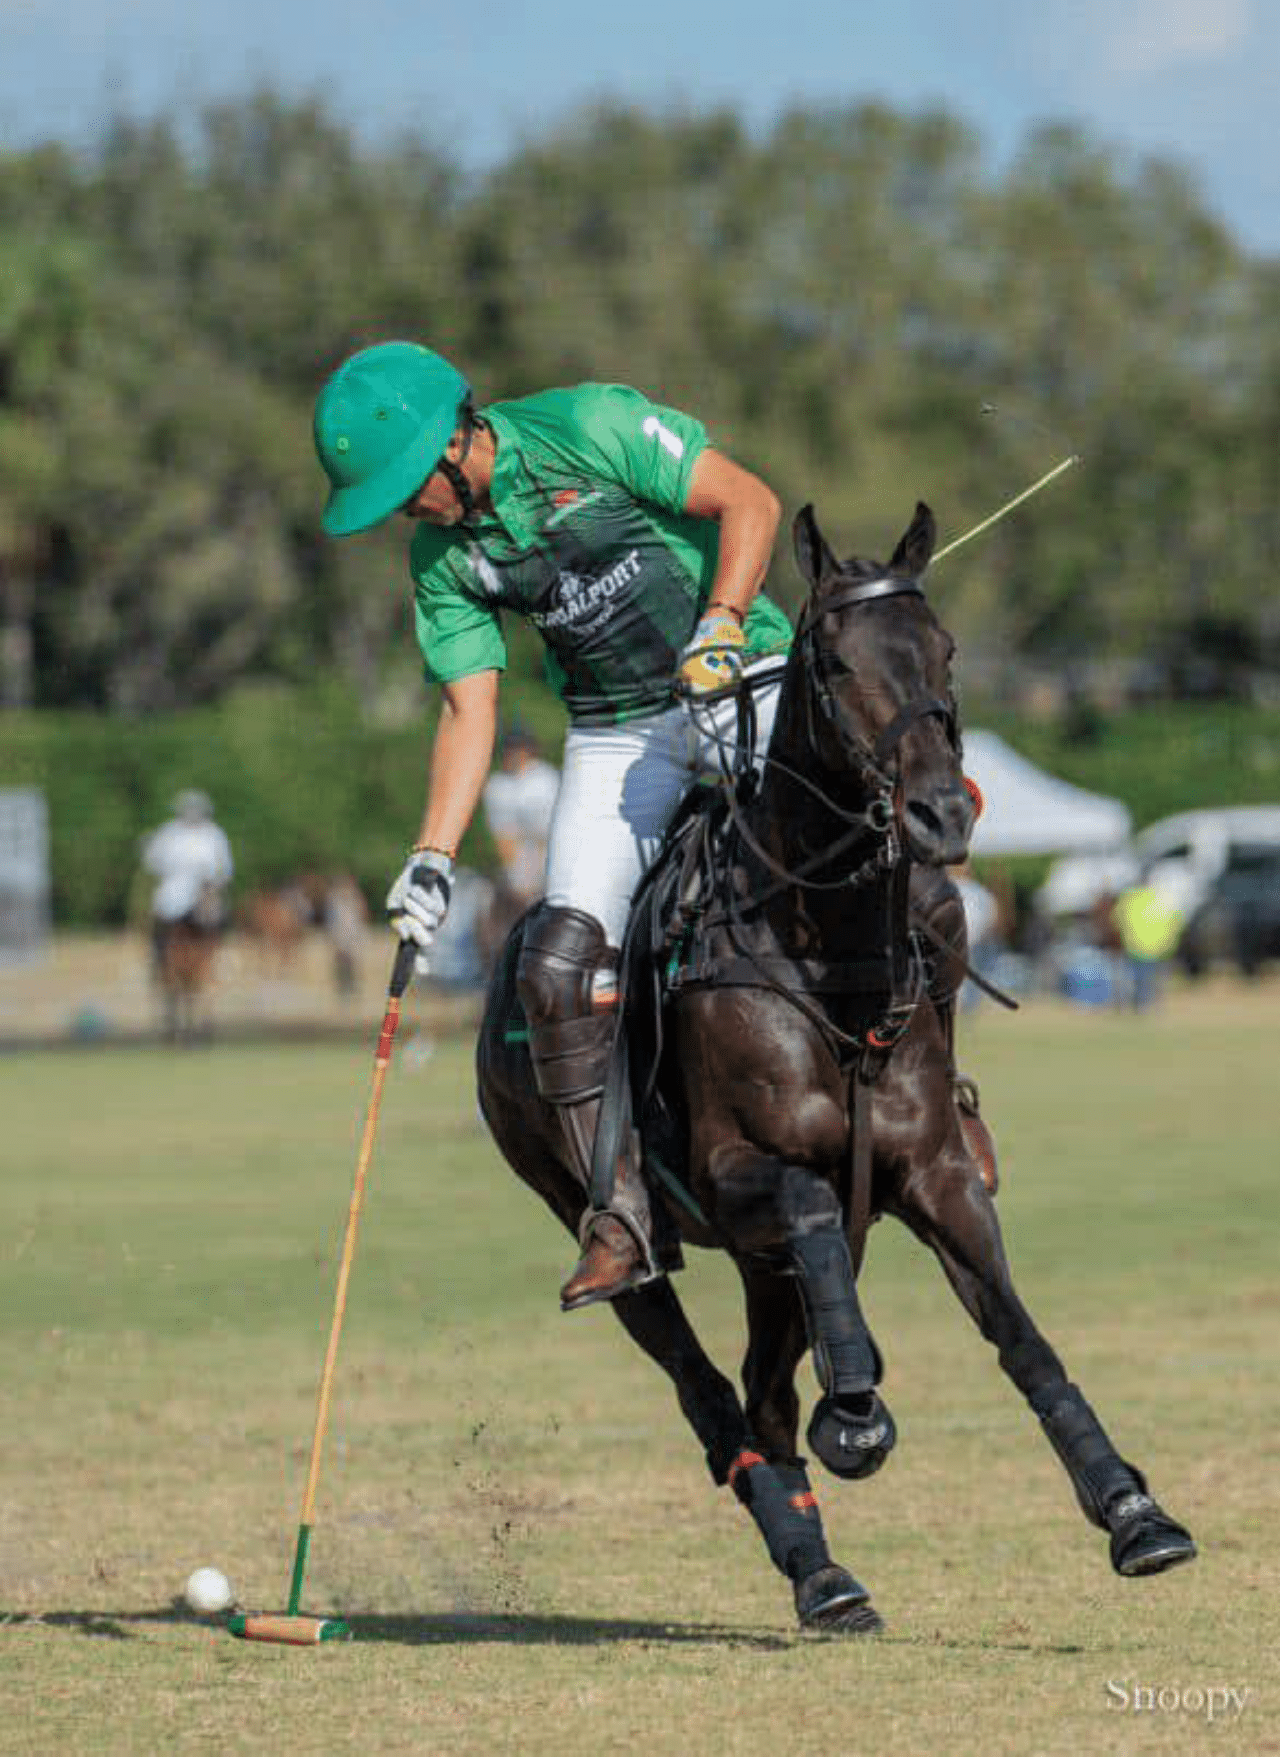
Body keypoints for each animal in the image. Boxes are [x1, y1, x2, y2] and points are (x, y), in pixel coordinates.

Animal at [474, 506, 1193, 1630]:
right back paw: (814, 1555)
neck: (827, 955)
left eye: (945, 649)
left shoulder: (936, 1173)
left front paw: (1133, 1511)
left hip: (760, 1262)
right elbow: (812, 1218)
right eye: (834, 660)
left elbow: (1022, 1336)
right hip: (598, 1208)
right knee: (711, 1393)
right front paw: (854, 1403)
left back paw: (821, 1564)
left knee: (764, 1390)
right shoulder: (741, 1172)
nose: (943, 813)